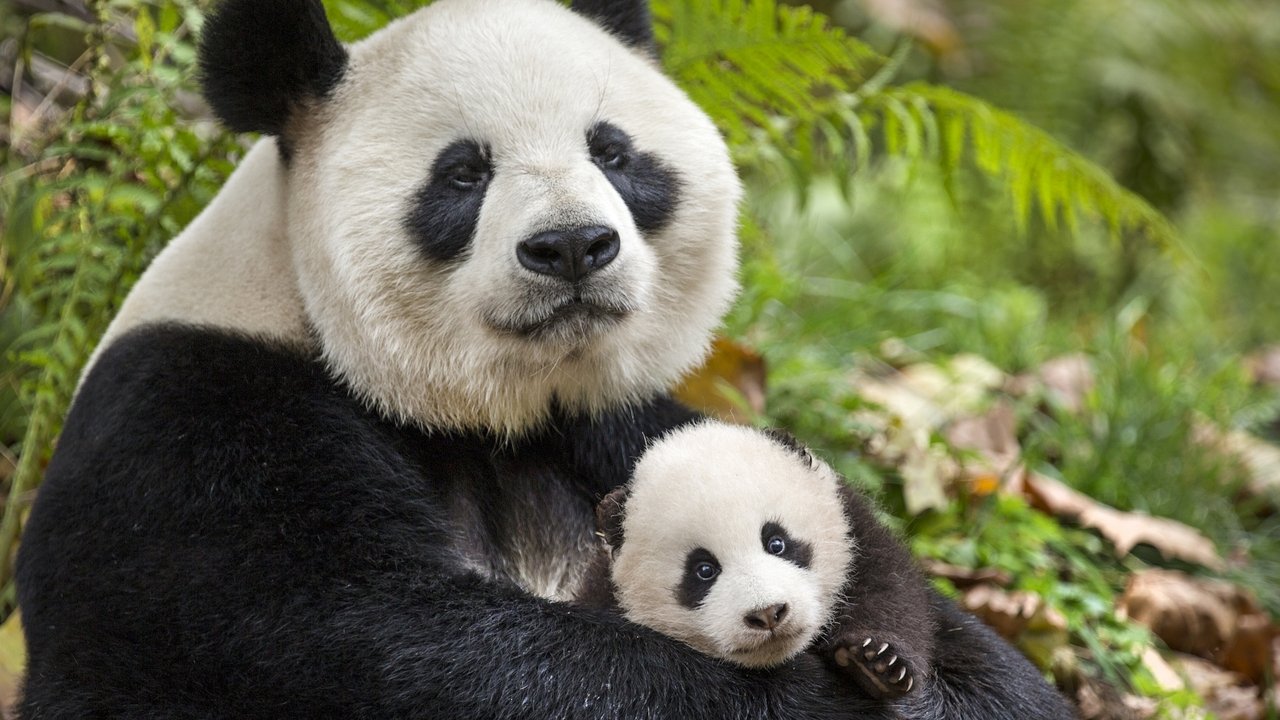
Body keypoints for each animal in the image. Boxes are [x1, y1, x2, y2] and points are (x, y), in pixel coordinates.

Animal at [15, 0, 1075, 712]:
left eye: (613, 152)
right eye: (463, 173)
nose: (572, 246)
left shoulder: (622, 423)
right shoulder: (199, 443)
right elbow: (394, 644)